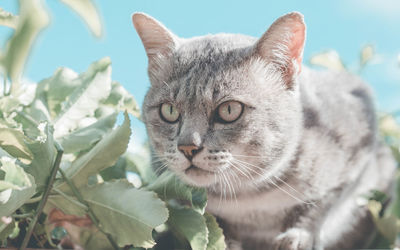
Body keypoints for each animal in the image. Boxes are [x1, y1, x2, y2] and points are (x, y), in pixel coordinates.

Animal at [132, 10, 396, 249]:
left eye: (229, 110)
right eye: (169, 111)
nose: (187, 147)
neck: (250, 199)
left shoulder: (357, 140)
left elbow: (320, 206)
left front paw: (298, 237)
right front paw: (227, 241)